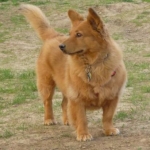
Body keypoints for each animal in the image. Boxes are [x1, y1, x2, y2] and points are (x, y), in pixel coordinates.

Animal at [19, 4, 126, 141]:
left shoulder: (112, 97)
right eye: (69, 34)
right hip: (47, 84)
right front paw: (83, 134)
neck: (93, 65)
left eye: (79, 34)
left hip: (66, 88)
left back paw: (67, 120)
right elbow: (82, 119)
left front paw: (109, 130)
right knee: (47, 102)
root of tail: (54, 36)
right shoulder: (77, 98)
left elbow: (107, 117)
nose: (61, 46)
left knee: (64, 104)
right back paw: (49, 119)